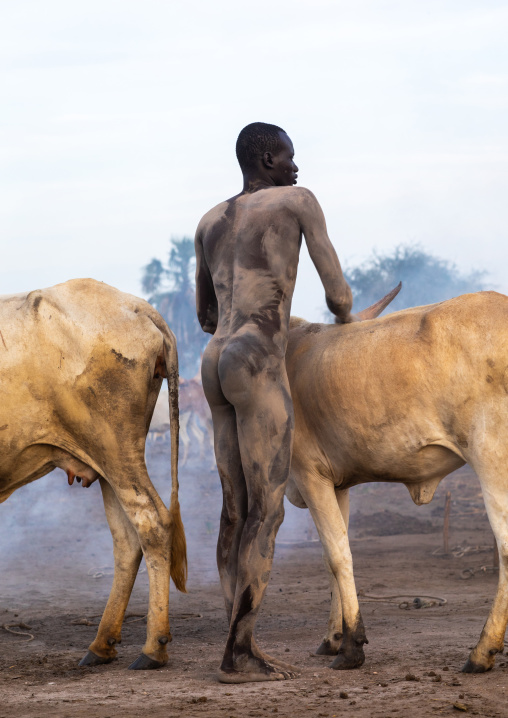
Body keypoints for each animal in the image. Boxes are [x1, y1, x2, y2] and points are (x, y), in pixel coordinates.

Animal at [0, 278, 187, 670]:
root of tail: (136, 305)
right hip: (106, 466)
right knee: (128, 539)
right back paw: (102, 643)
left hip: (115, 451)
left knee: (152, 522)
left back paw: (153, 647)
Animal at [284, 290, 508, 674]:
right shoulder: (336, 484)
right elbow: (333, 555)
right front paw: (334, 637)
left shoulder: (308, 474)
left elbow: (337, 556)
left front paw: (351, 647)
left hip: (491, 458)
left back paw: (481, 652)